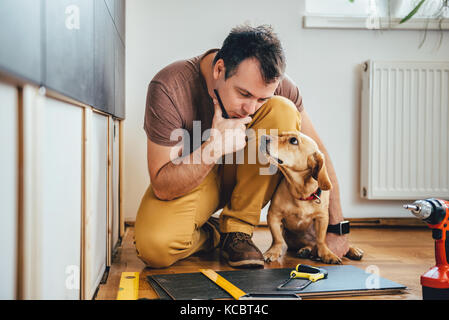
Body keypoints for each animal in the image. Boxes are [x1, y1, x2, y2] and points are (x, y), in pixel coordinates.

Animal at [260, 131, 362, 264]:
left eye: (293, 140)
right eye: (281, 134)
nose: (263, 137)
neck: (301, 192)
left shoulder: (322, 218)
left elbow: (321, 240)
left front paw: (327, 254)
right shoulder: (273, 215)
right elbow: (277, 238)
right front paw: (273, 252)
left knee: (320, 243)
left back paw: (354, 250)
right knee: (309, 245)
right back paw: (305, 250)